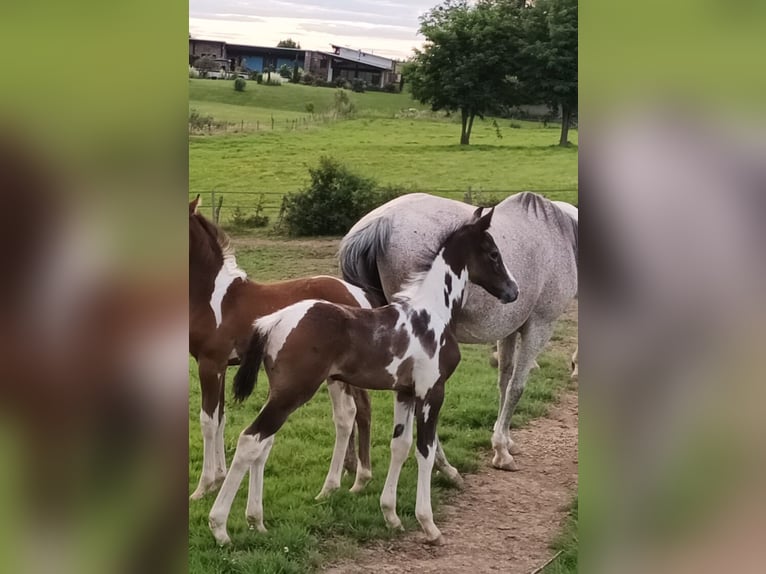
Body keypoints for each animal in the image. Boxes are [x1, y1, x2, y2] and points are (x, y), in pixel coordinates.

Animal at [189, 196, 376, 502]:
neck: (214, 298)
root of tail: (357, 293)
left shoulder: (209, 364)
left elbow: (207, 421)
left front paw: (203, 487)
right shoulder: (221, 366)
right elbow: (220, 418)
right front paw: (219, 477)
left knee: (351, 413)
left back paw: (344, 481)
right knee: (353, 412)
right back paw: (353, 477)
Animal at [207, 208, 520, 548]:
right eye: (493, 253)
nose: (513, 291)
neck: (432, 313)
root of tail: (273, 320)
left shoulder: (404, 393)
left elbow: (400, 445)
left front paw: (391, 515)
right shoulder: (431, 392)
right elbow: (424, 451)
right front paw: (428, 524)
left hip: (281, 394)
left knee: (261, 444)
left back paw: (255, 521)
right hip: (292, 393)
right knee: (250, 440)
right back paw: (219, 527)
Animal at [340, 194, 580, 472]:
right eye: (493, 254)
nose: (514, 291)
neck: (561, 232)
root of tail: (378, 224)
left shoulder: (510, 329)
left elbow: (504, 380)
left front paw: (505, 440)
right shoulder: (539, 326)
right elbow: (516, 387)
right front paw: (501, 451)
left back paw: (349, 464)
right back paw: (444, 467)